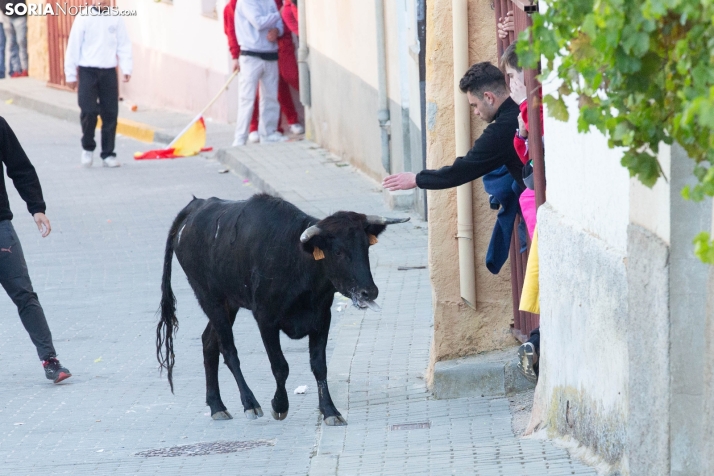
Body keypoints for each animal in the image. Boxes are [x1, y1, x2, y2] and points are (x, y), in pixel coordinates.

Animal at [158, 195, 408, 426]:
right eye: (337, 251)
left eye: (366, 247)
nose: (369, 292)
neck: (296, 260)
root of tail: (196, 205)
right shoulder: (265, 319)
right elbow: (280, 366)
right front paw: (279, 405)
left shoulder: (321, 318)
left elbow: (320, 366)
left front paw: (330, 410)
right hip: (210, 298)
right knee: (228, 350)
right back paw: (249, 403)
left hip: (229, 303)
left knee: (209, 341)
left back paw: (216, 405)